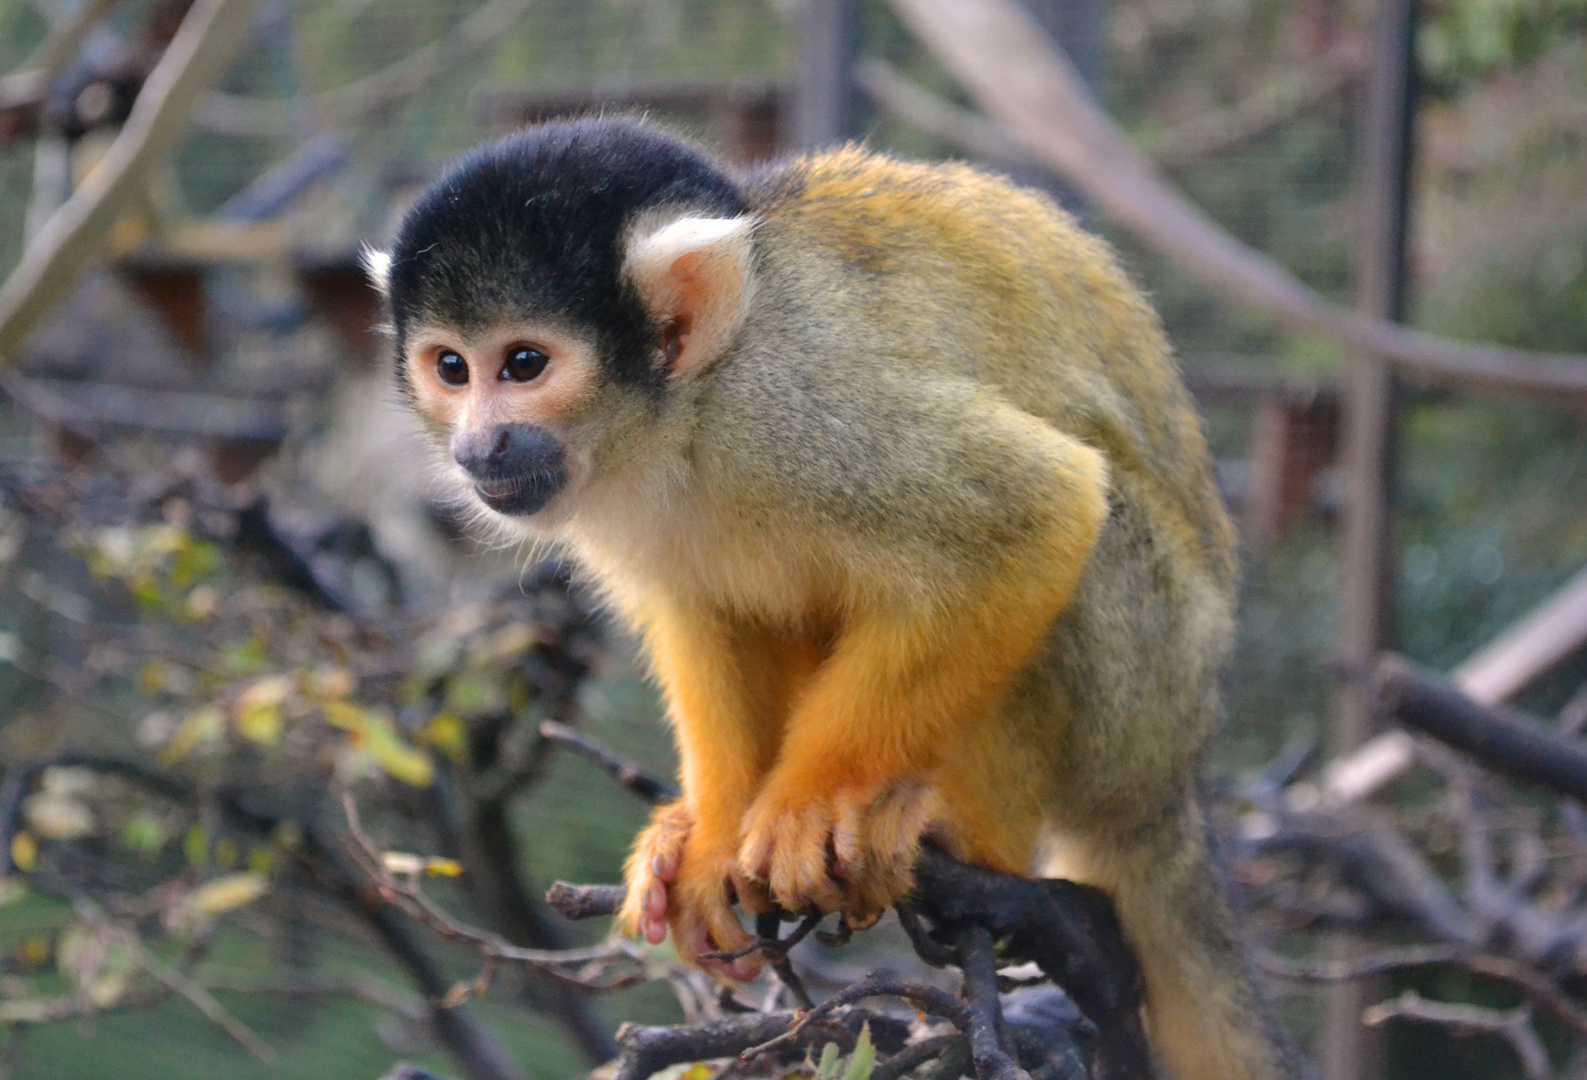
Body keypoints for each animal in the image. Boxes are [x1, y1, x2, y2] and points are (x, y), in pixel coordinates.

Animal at [368, 118, 1301, 1078]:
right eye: (451, 368)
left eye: (523, 364)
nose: (478, 446)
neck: (684, 415)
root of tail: (1174, 776)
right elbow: (701, 614)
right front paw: (711, 834)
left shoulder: (797, 404)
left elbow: (1036, 510)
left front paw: (806, 807)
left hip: (1149, 685)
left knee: (1091, 530)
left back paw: (964, 835)